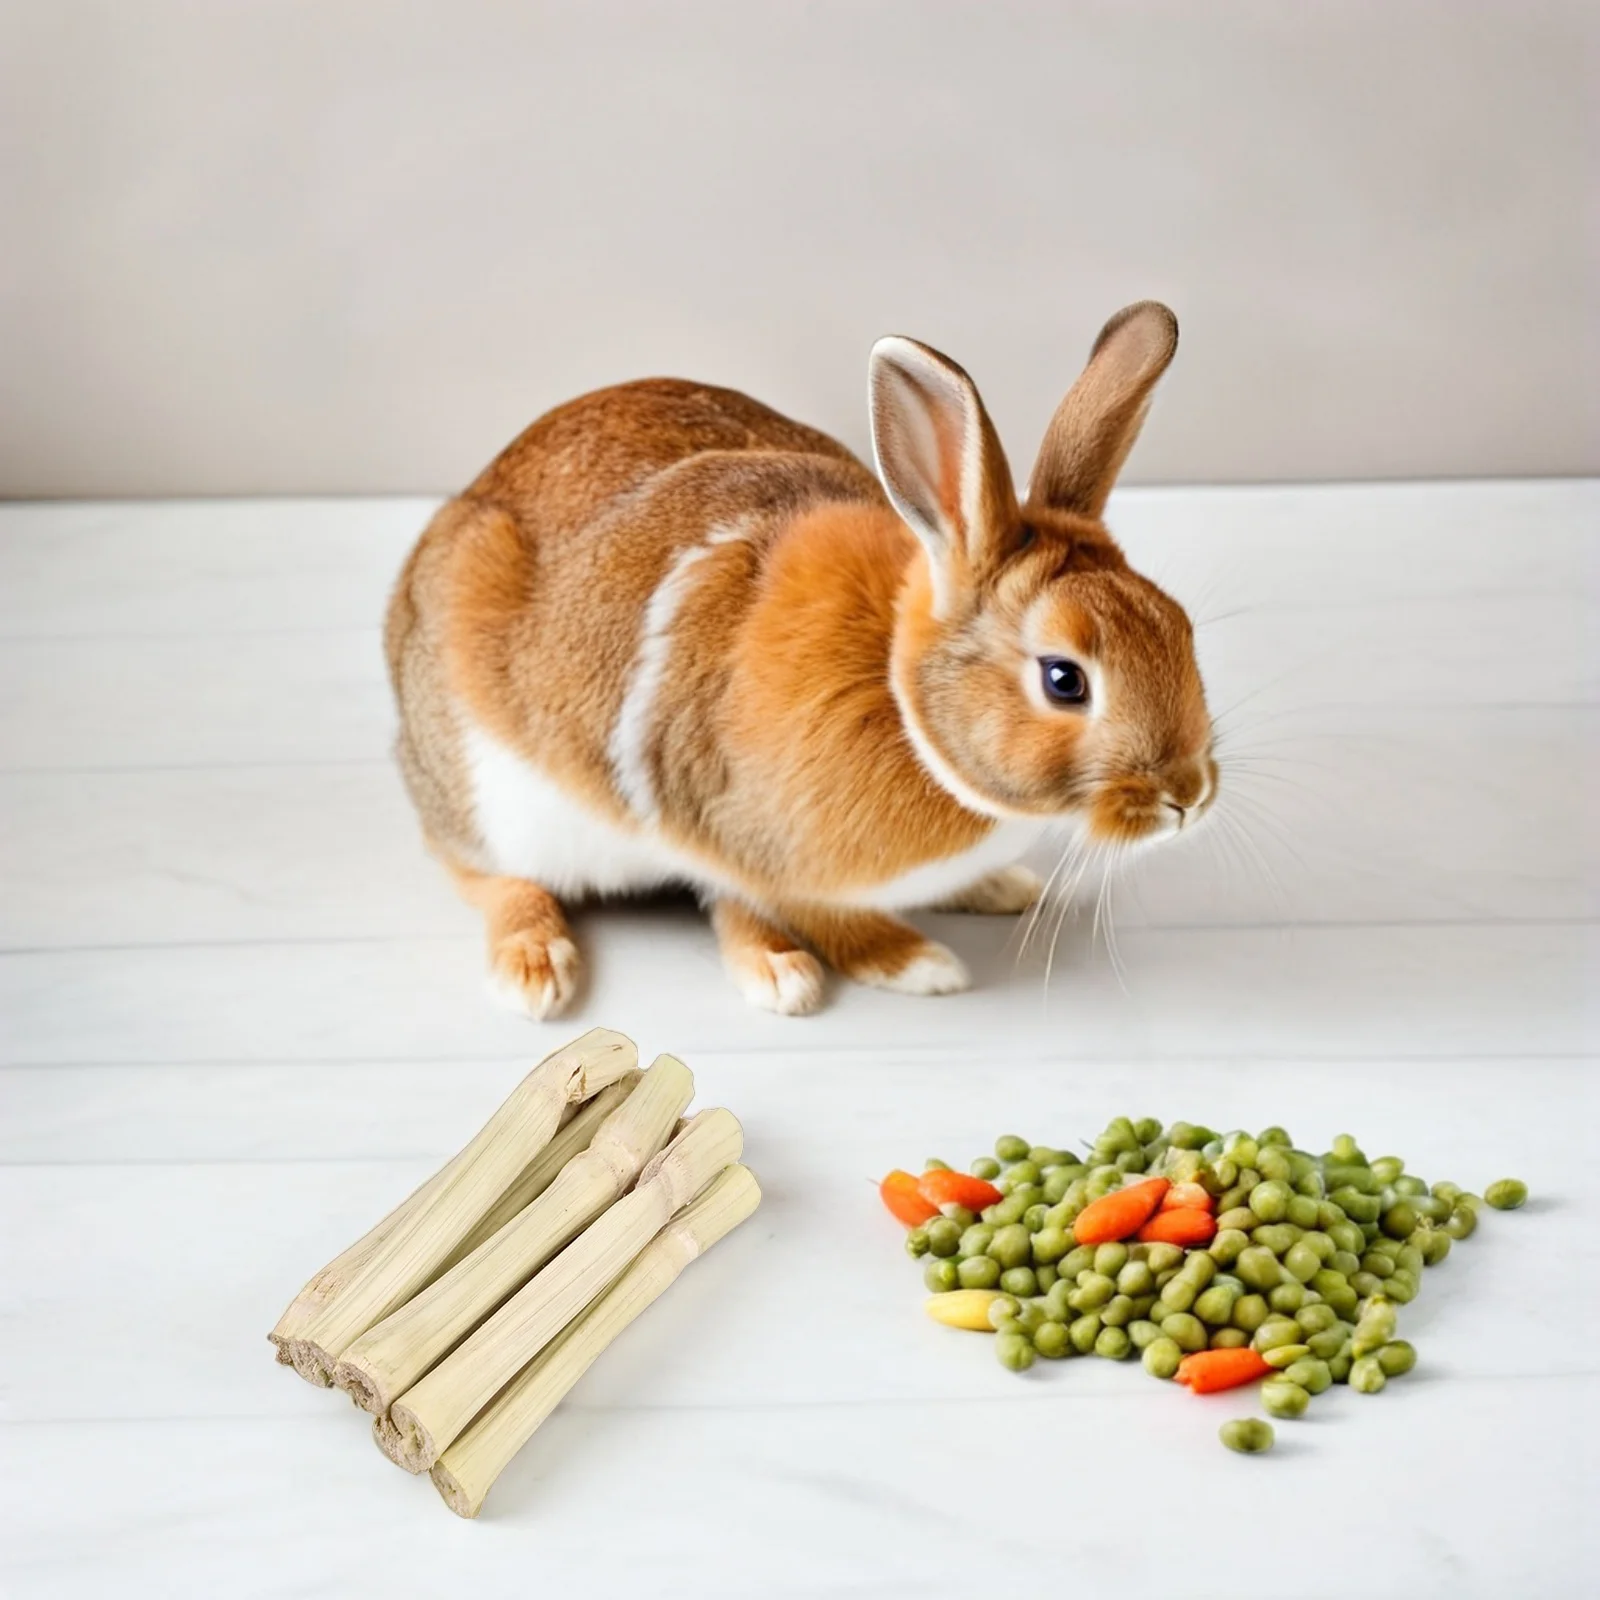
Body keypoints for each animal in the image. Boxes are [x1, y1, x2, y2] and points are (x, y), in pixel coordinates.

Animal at [385, 300, 1216, 1017]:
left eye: (1179, 625)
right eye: (1064, 680)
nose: (1189, 796)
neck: (901, 698)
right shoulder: (723, 826)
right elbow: (782, 909)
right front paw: (888, 967)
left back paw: (1000, 887)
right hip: (487, 795)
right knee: (479, 871)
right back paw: (534, 971)